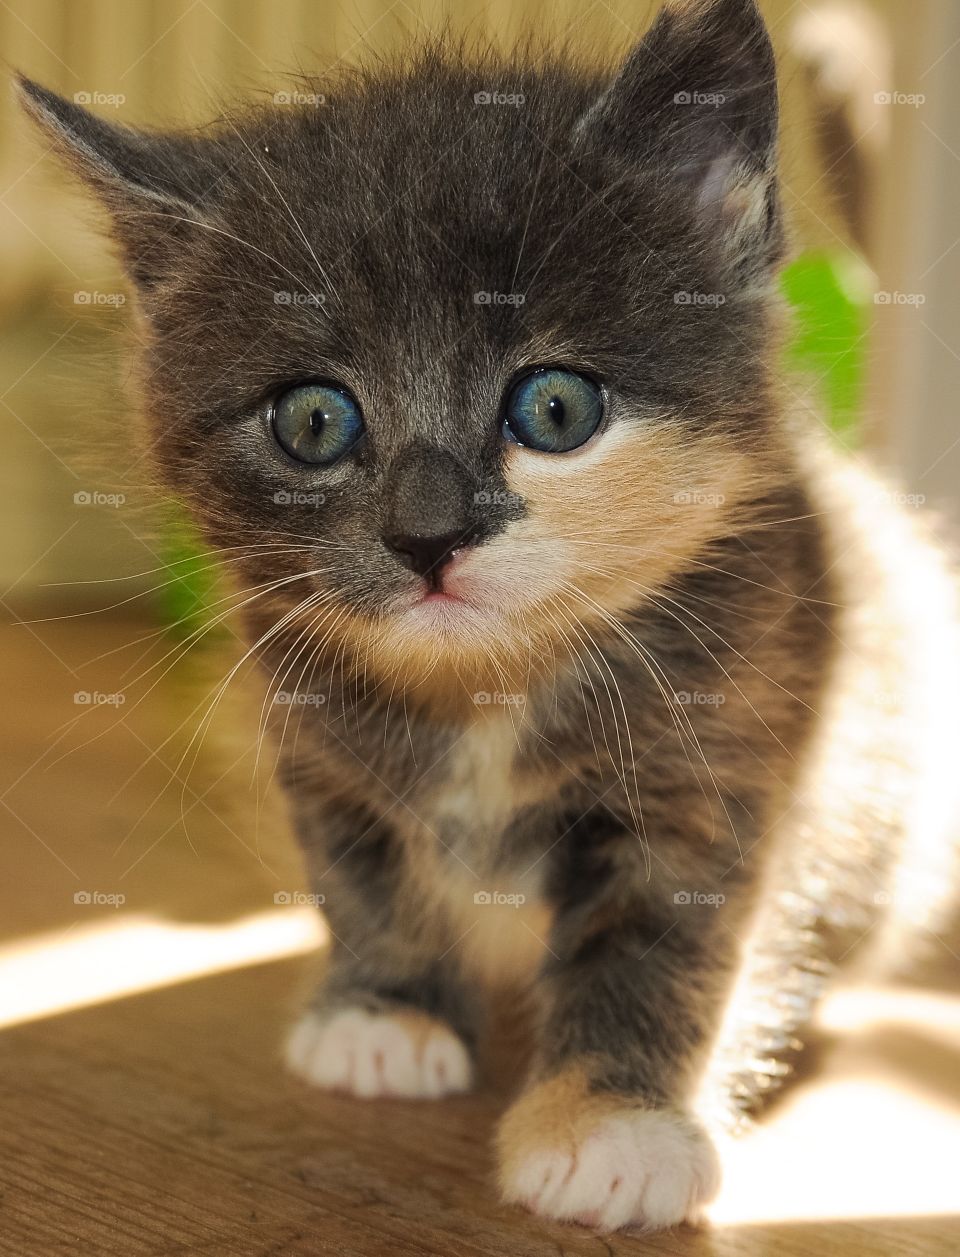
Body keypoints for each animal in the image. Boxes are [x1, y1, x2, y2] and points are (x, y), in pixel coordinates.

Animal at [18, 0, 954, 1236]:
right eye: (313, 421)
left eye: (554, 408)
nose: (428, 537)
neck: (488, 694)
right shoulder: (311, 730)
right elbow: (362, 870)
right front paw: (386, 1012)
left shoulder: (731, 737)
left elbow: (665, 940)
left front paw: (614, 1123)